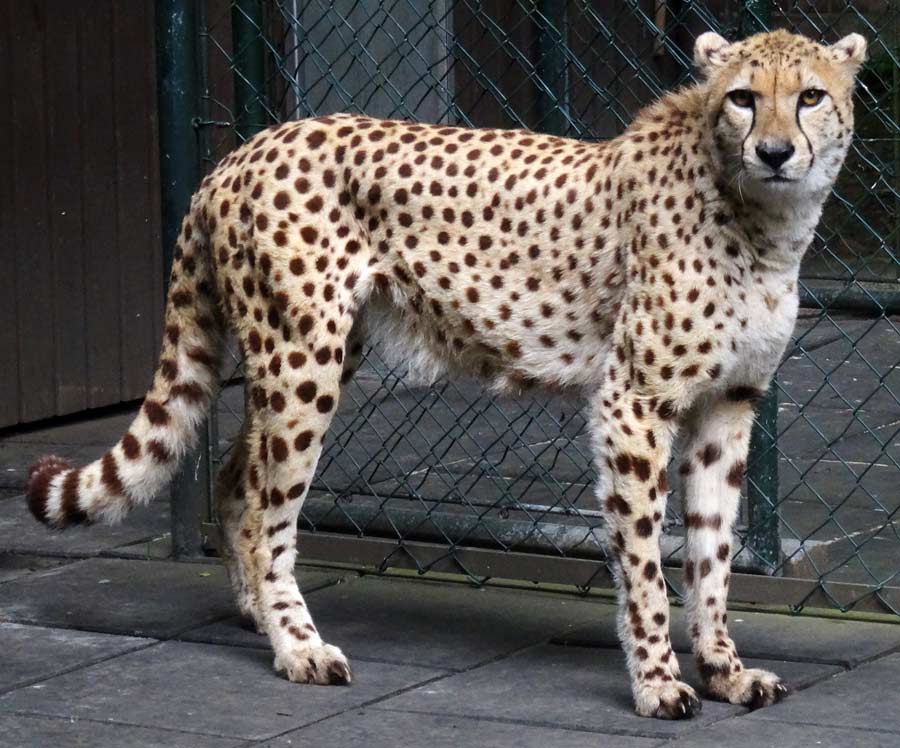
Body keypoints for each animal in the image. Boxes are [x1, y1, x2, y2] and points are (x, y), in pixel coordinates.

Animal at [24, 29, 860, 720]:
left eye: (810, 96)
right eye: (743, 97)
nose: (775, 152)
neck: (760, 219)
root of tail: (240, 151)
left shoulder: (729, 403)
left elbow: (714, 554)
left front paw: (725, 671)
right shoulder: (635, 401)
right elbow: (646, 562)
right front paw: (658, 683)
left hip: (316, 352)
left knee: (237, 477)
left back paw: (259, 614)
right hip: (303, 358)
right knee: (269, 511)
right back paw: (298, 646)